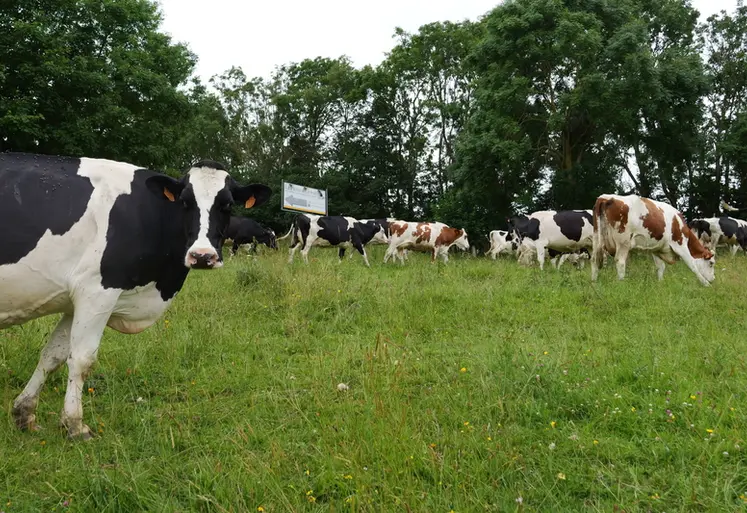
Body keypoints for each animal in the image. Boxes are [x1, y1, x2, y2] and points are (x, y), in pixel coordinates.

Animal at [0, 153, 271, 440]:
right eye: (185, 202)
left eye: (227, 205)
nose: (202, 256)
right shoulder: (97, 290)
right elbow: (82, 359)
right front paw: (75, 424)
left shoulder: (75, 302)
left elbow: (53, 355)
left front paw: (25, 413)